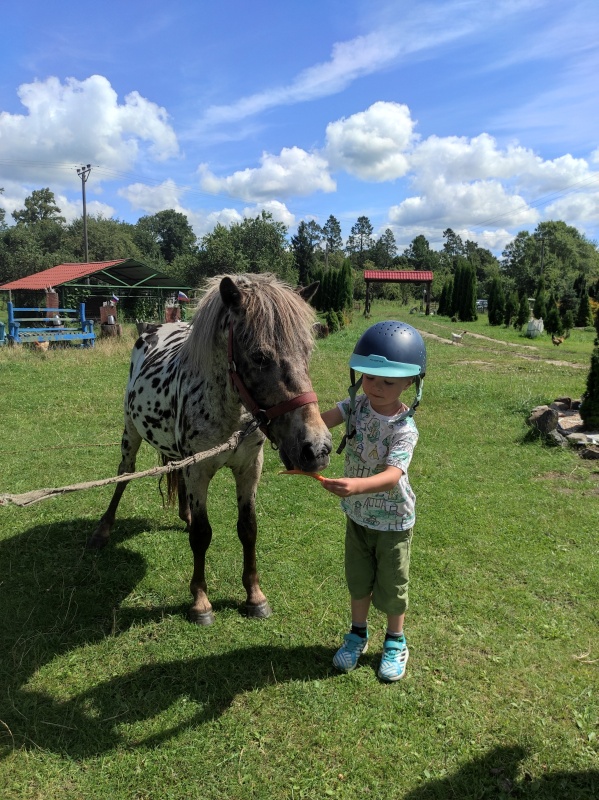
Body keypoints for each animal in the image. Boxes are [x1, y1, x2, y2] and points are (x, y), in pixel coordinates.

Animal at [89, 276, 332, 624]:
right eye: (259, 356)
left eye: (307, 351)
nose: (318, 448)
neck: (230, 412)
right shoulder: (199, 469)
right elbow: (202, 535)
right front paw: (201, 601)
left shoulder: (249, 468)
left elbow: (248, 528)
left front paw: (255, 596)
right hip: (130, 433)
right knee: (124, 475)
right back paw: (103, 531)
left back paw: (184, 515)